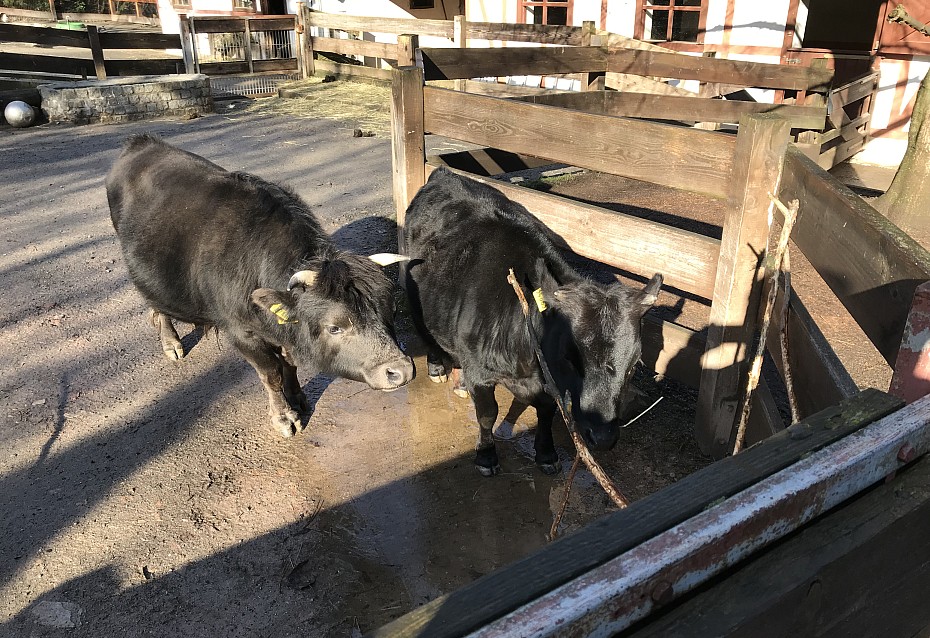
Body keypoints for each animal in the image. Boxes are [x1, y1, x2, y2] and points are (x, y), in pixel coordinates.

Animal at [106, 137, 414, 438]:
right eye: (335, 327)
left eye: (390, 311)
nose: (400, 370)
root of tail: (140, 143)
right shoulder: (242, 333)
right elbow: (271, 373)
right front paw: (284, 417)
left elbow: (290, 363)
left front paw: (298, 398)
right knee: (156, 304)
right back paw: (171, 343)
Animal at [404, 168, 660, 478]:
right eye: (570, 357)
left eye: (634, 364)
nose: (603, 437)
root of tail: (445, 174)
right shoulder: (480, 372)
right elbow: (487, 414)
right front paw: (486, 455)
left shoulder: (549, 384)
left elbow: (546, 414)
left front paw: (546, 454)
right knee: (424, 330)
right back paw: (437, 368)